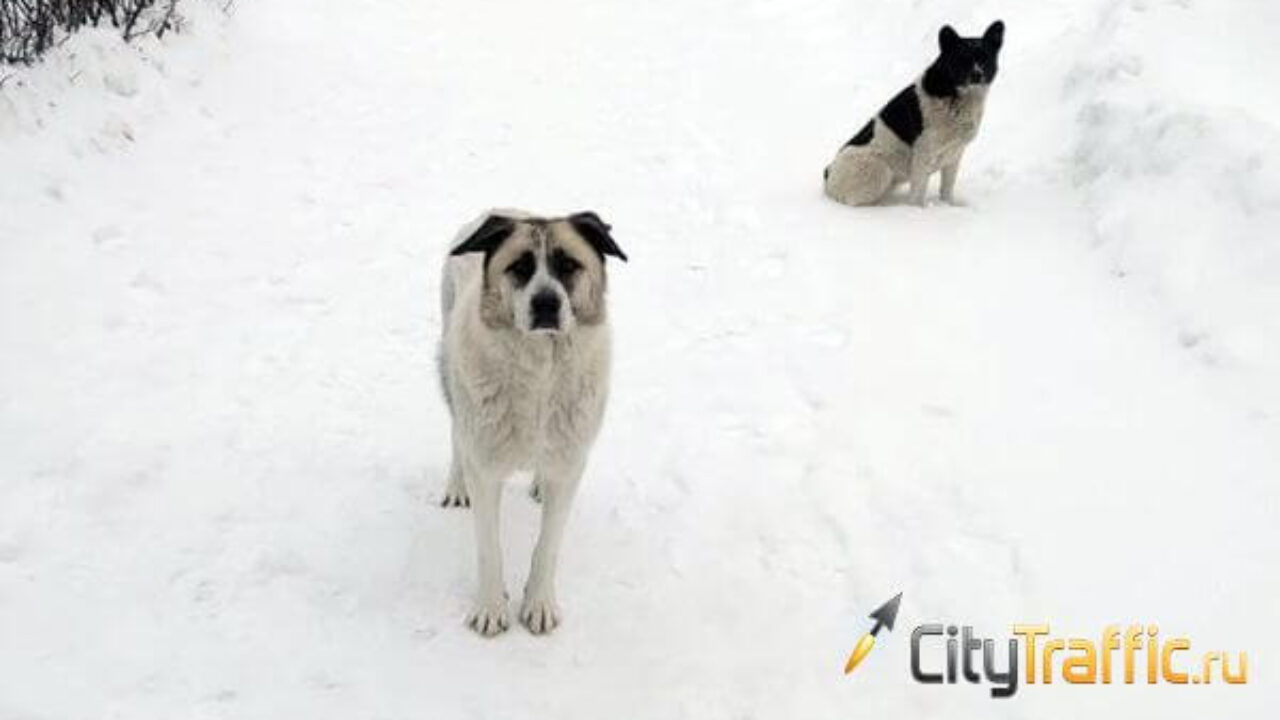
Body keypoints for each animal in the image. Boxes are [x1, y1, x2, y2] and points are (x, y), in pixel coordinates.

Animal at [437, 207, 627, 632]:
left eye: (568, 265)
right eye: (520, 267)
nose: (546, 302)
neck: (541, 372)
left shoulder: (571, 466)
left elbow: (548, 546)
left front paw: (539, 603)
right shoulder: (485, 467)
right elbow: (489, 548)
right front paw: (491, 609)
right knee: (457, 433)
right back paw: (457, 485)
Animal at [824, 20, 1003, 206]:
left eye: (985, 58)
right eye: (962, 59)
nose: (977, 75)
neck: (954, 94)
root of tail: (829, 173)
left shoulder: (954, 154)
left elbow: (947, 189)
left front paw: (949, 206)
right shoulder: (923, 155)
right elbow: (917, 196)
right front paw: (917, 211)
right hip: (880, 170)